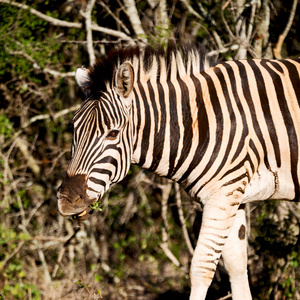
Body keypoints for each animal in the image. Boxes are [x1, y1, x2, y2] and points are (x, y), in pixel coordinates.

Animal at [56, 42, 300, 300]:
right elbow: (236, 265)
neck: (203, 122)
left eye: (113, 133)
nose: (67, 200)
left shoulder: (222, 194)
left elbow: (201, 268)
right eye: (73, 128)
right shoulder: (235, 195)